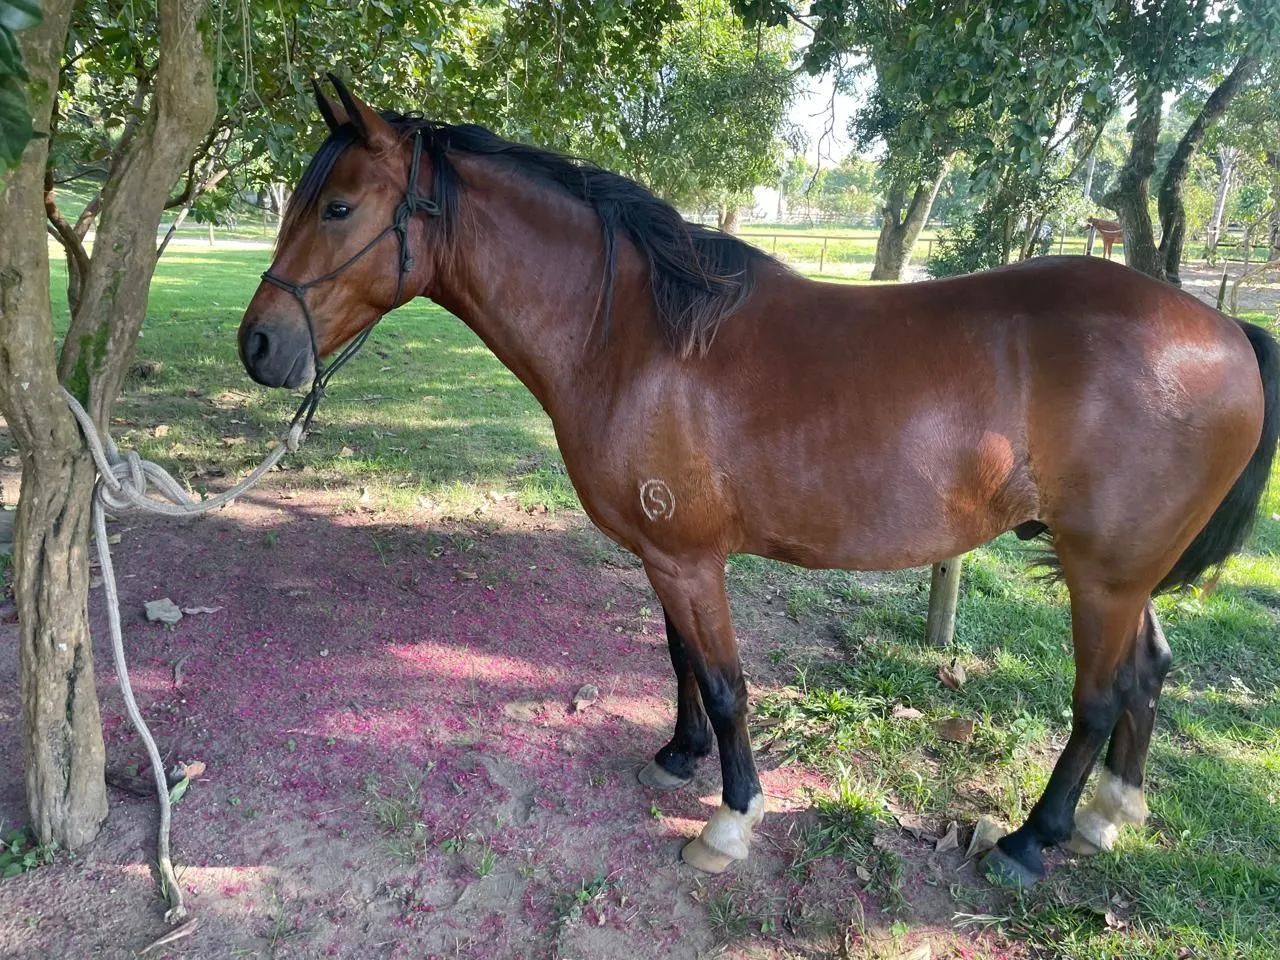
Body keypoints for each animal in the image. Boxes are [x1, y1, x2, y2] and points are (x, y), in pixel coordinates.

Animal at [238, 78, 1279, 886]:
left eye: (337, 208)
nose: (259, 345)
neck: (633, 334)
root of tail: (1221, 328)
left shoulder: (691, 558)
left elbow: (728, 681)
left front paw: (729, 818)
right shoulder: (665, 554)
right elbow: (681, 660)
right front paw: (679, 754)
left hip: (1101, 575)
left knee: (1100, 697)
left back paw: (1032, 841)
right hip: (1124, 571)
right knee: (1149, 673)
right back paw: (1109, 815)